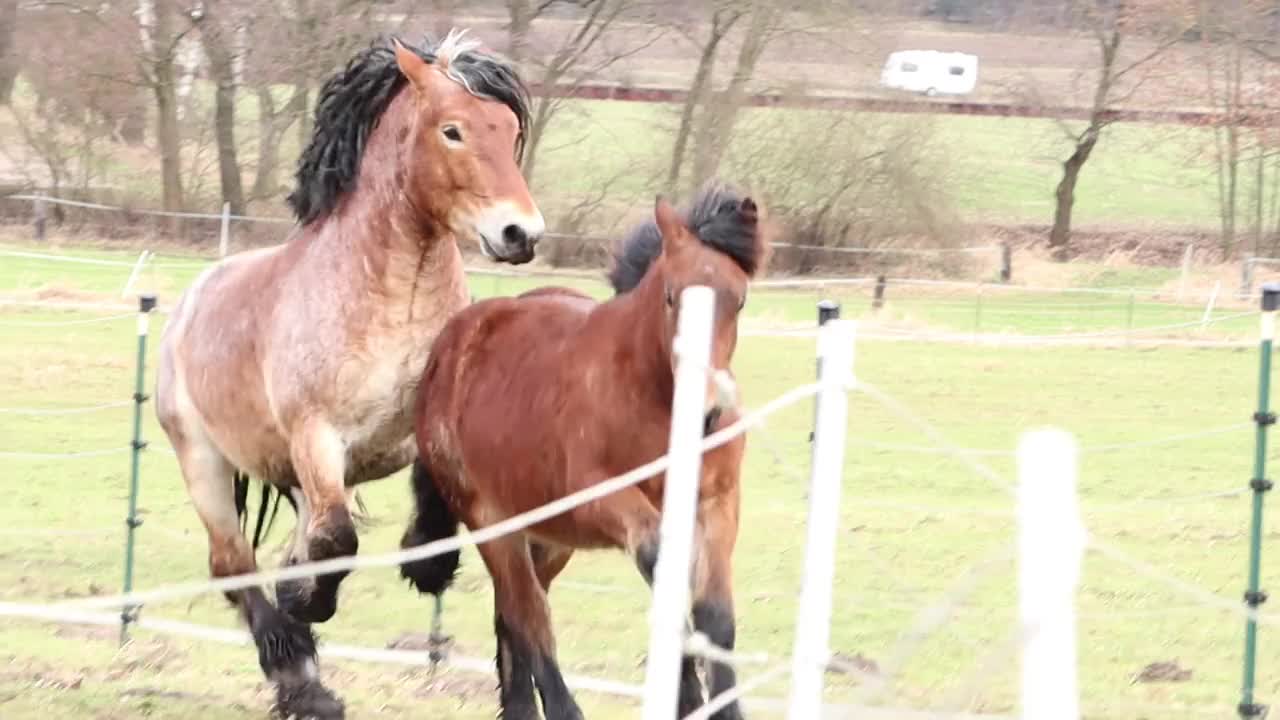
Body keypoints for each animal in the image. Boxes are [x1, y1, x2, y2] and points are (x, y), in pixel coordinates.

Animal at [156, 30, 545, 712]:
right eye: (453, 131)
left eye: (509, 129)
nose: (520, 233)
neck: (393, 299)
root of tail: (190, 302)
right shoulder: (317, 437)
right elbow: (338, 541)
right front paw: (305, 598)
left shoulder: (433, 423)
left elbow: (433, 504)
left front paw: (424, 561)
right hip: (204, 462)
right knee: (235, 566)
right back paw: (301, 679)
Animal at [394, 184, 762, 717]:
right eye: (671, 296)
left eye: (740, 300)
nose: (709, 411)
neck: (654, 400)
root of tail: (448, 348)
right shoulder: (602, 499)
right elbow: (661, 564)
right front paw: (685, 691)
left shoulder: (717, 503)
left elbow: (717, 619)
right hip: (495, 525)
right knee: (529, 619)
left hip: (549, 539)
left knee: (511, 617)